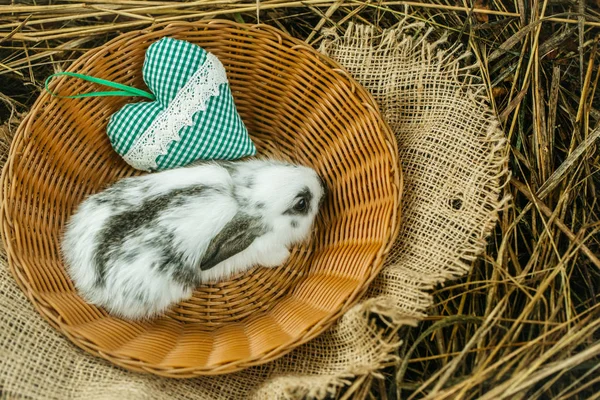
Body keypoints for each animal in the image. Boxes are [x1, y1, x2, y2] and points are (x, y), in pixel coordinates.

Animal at [61, 159, 326, 318]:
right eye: (301, 204)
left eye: (287, 164)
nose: (322, 182)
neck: (241, 200)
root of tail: (84, 276)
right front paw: (284, 257)